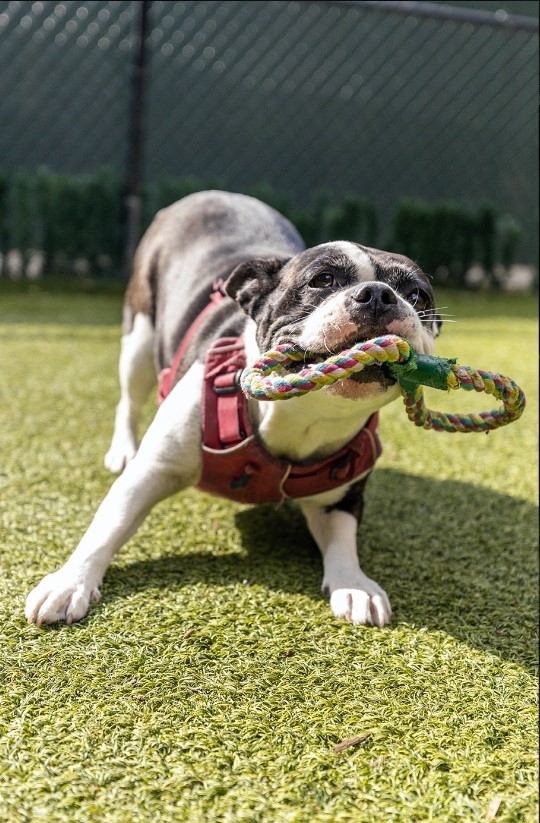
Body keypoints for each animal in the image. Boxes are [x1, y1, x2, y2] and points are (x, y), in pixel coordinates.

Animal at [24, 193, 438, 628]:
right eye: (322, 280)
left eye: (418, 297)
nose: (377, 294)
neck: (301, 413)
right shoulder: (150, 473)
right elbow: (108, 525)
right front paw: (70, 581)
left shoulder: (339, 498)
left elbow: (343, 540)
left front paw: (355, 585)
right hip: (138, 337)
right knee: (129, 399)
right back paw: (122, 448)